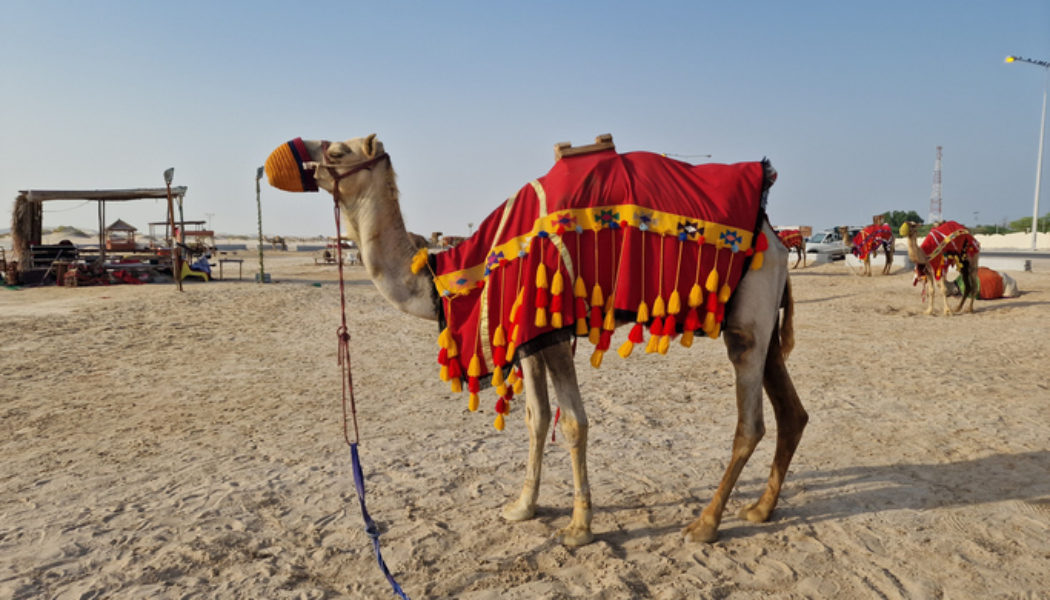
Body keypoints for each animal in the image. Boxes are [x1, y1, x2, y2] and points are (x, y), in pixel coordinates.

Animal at [265, 134, 807, 547]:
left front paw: (579, 527)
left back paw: (705, 524)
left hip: (746, 324)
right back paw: (760, 509)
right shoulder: (525, 334)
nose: (288, 157)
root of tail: (776, 234)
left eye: (337, 151)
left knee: (751, 423)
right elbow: (535, 417)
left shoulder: (549, 328)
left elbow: (572, 423)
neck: (447, 278)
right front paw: (523, 506)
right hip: (763, 323)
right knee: (792, 412)